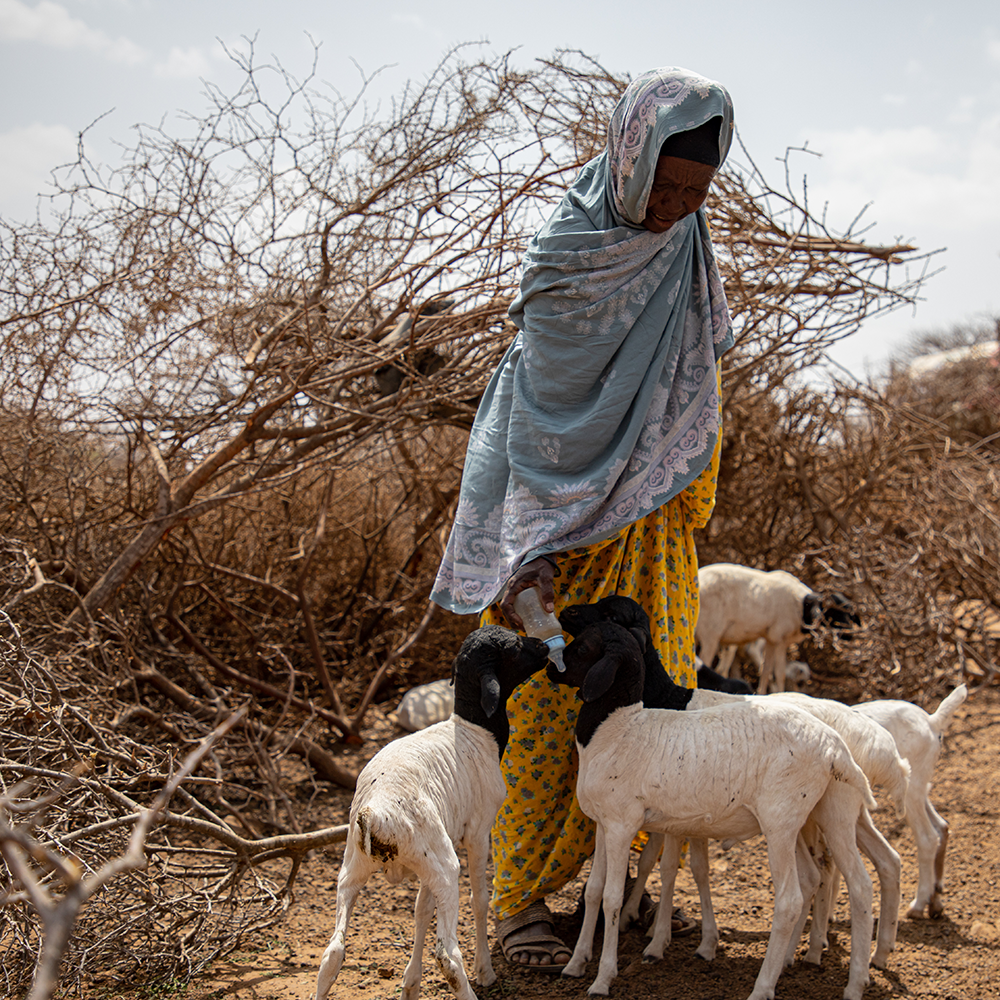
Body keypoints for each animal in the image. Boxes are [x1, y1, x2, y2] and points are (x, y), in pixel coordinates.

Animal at [314, 624, 548, 1000]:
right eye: (513, 647)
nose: (543, 646)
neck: (475, 730)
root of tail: (376, 813)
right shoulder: (478, 831)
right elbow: (480, 899)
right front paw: (485, 970)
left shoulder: (433, 854)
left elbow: (421, 910)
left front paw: (411, 984)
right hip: (444, 863)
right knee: (448, 954)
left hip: (357, 866)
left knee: (332, 952)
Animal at [696, 564, 860, 696]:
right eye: (834, 612)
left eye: (850, 613)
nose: (850, 636)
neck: (802, 607)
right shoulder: (780, 639)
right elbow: (779, 673)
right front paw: (780, 693)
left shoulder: (771, 639)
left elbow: (766, 670)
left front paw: (762, 694)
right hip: (710, 635)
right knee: (705, 662)